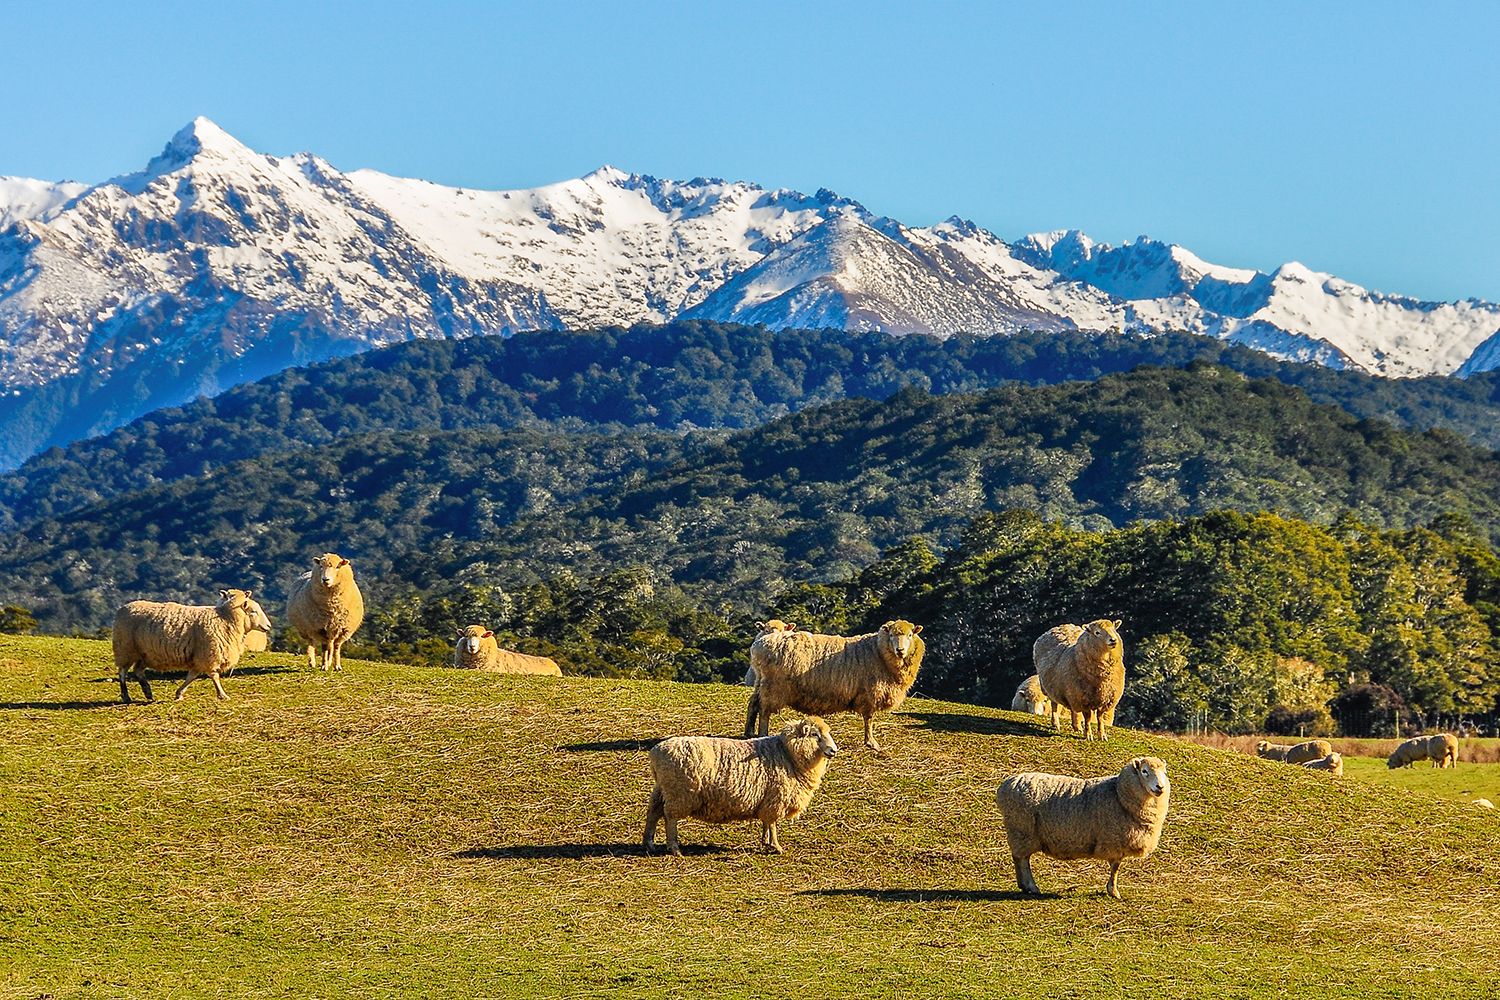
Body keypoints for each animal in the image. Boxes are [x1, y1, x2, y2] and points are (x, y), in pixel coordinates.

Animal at [112, 589, 259, 702]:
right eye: (253, 611)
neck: (225, 617)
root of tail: (122, 608)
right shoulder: (209, 654)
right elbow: (214, 676)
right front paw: (222, 695)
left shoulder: (199, 658)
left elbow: (191, 676)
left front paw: (179, 693)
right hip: (125, 648)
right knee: (122, 672)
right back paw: (126, 695)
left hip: (145, 654)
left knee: (137, 670)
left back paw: (147, 691)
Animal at [643, 716, 838, 856]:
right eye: (814, 734)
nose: (833, 750)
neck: (787, 753)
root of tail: (656, 752)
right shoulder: (776, 799)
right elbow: (773, 823)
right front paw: (775, 846)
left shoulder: (767, 800)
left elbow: (767, 822)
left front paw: (765, 841)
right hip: (679, 793)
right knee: (670, 818)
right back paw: (674, 848)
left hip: (663, 789)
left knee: (653, 812)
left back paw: (649, 843)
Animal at [744, 620, 924, 751]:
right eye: (892, 635)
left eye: (910, 635)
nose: (900, 650)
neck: (878, 652)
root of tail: (761, 642)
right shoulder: (870, 693)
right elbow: (869, 719)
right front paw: (871, 743)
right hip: (773, 687)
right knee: (764, 710)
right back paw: (762, 733)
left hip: (761, 681)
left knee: (753, 703)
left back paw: (749, 732)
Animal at [996, 756, 1170, 900]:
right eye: (1144, 771)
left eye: (1164, 772)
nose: (1160, 787)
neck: (1118, 793)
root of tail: (1007, 784)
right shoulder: (1114, 840)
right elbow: (1115, 868)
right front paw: (1114, 892)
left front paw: (1112, 890)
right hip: (1021, 830)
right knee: (1022, 859)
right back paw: (1031, 886)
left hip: (1020, 832)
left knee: (1019, 858)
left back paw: (1024, 886)